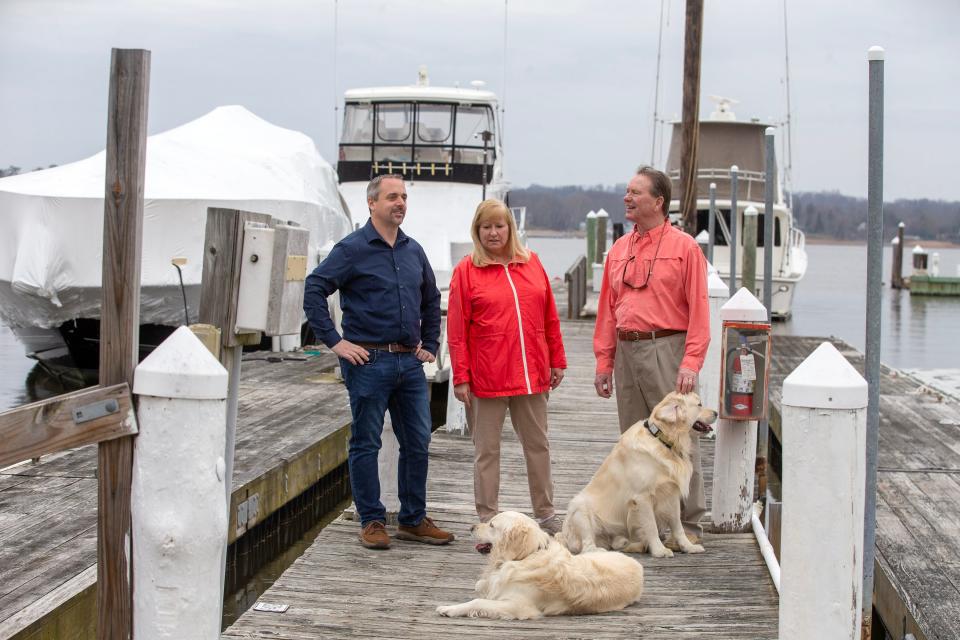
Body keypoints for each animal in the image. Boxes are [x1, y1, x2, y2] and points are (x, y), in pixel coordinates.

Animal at [436, 510, 644, 620]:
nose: (471, 527)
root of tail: (637, 565)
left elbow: (478, 601)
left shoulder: (518, 606)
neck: (527, 556)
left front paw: (448, 608)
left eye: (492, 525)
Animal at [560, 390, 716, 556]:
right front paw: (659, 550)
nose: (717, 413)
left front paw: (688, 546)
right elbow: (651, 526)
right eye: (699, 404)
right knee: (587, 546)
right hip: (579, 507)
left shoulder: (671, 494)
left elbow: (678, 526)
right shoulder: (642, 497)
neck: (663, 440)